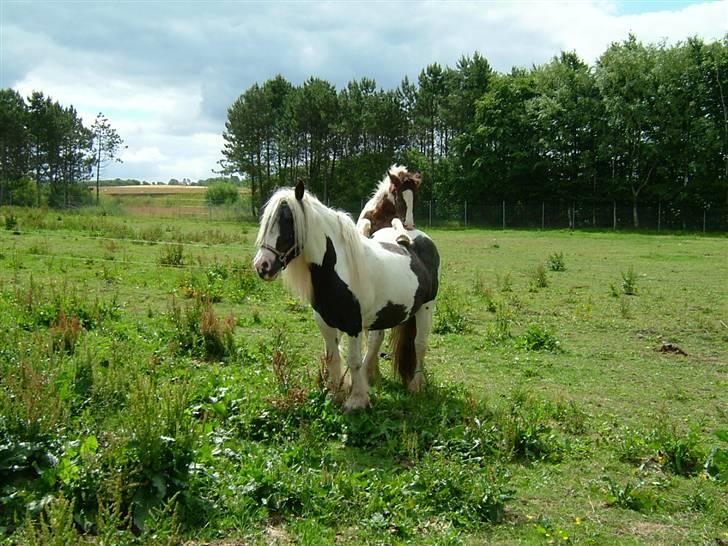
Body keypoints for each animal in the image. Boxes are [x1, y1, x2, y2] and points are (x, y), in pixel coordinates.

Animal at [253, 181, 440, 410]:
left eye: (288, 222)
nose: (262, 266)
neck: (337, 269)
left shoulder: (353, 326)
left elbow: (352, 360)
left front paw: (356, 401)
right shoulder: (325, 323)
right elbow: (333, 357)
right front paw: (336, 394)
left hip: (426, 307)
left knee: (419, 344)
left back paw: (416, 385)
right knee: (376, 340)